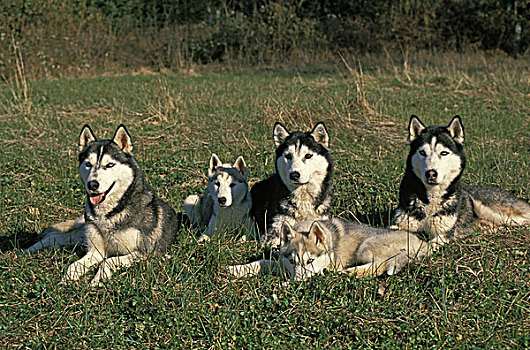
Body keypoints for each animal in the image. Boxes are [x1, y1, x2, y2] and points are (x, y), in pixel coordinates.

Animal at [25, 124, 177, 286]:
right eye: (88, 164)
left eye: (110, 165)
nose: (92, 184)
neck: (108, 215)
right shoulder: (95, 251)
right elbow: (74, 265)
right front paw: (66, 280)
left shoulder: (144, 253)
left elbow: (108, 261)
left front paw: (97, 280)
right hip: (81, 234)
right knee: (53, 236)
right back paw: (28, 250)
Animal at [228, 219, 434, 282]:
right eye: (293, 262)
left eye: (310, 261)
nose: (297, 283)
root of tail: (422, 243)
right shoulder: (283, 264)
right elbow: (262, 262)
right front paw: (237, 269)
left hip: (366, 247)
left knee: (381, 264)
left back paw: (353, 272)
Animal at [392, 116, 528, 242]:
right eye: (422, 152)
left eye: (444, 153)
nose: (431, 173)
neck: (432, 198)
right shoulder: (401, 224)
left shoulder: (444, 235)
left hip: (495, 212)